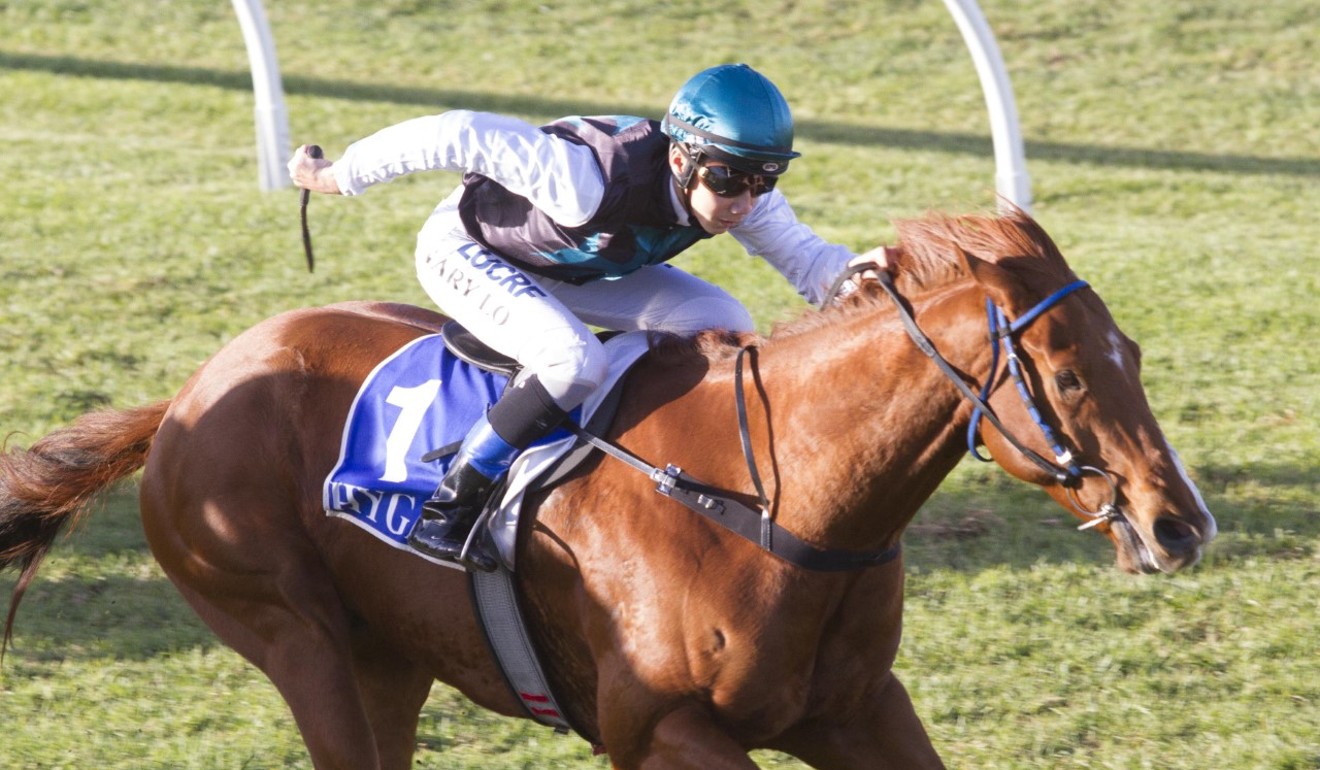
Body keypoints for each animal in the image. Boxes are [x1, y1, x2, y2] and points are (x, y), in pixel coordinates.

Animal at [0, 207, 1214, 766]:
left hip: (386, 657)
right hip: (295, 638)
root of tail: (188, 396)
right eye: (1066, 373)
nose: (1179, 523)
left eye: (1136, 353)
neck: (779, 505)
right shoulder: (658, 726)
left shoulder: (857, 706)